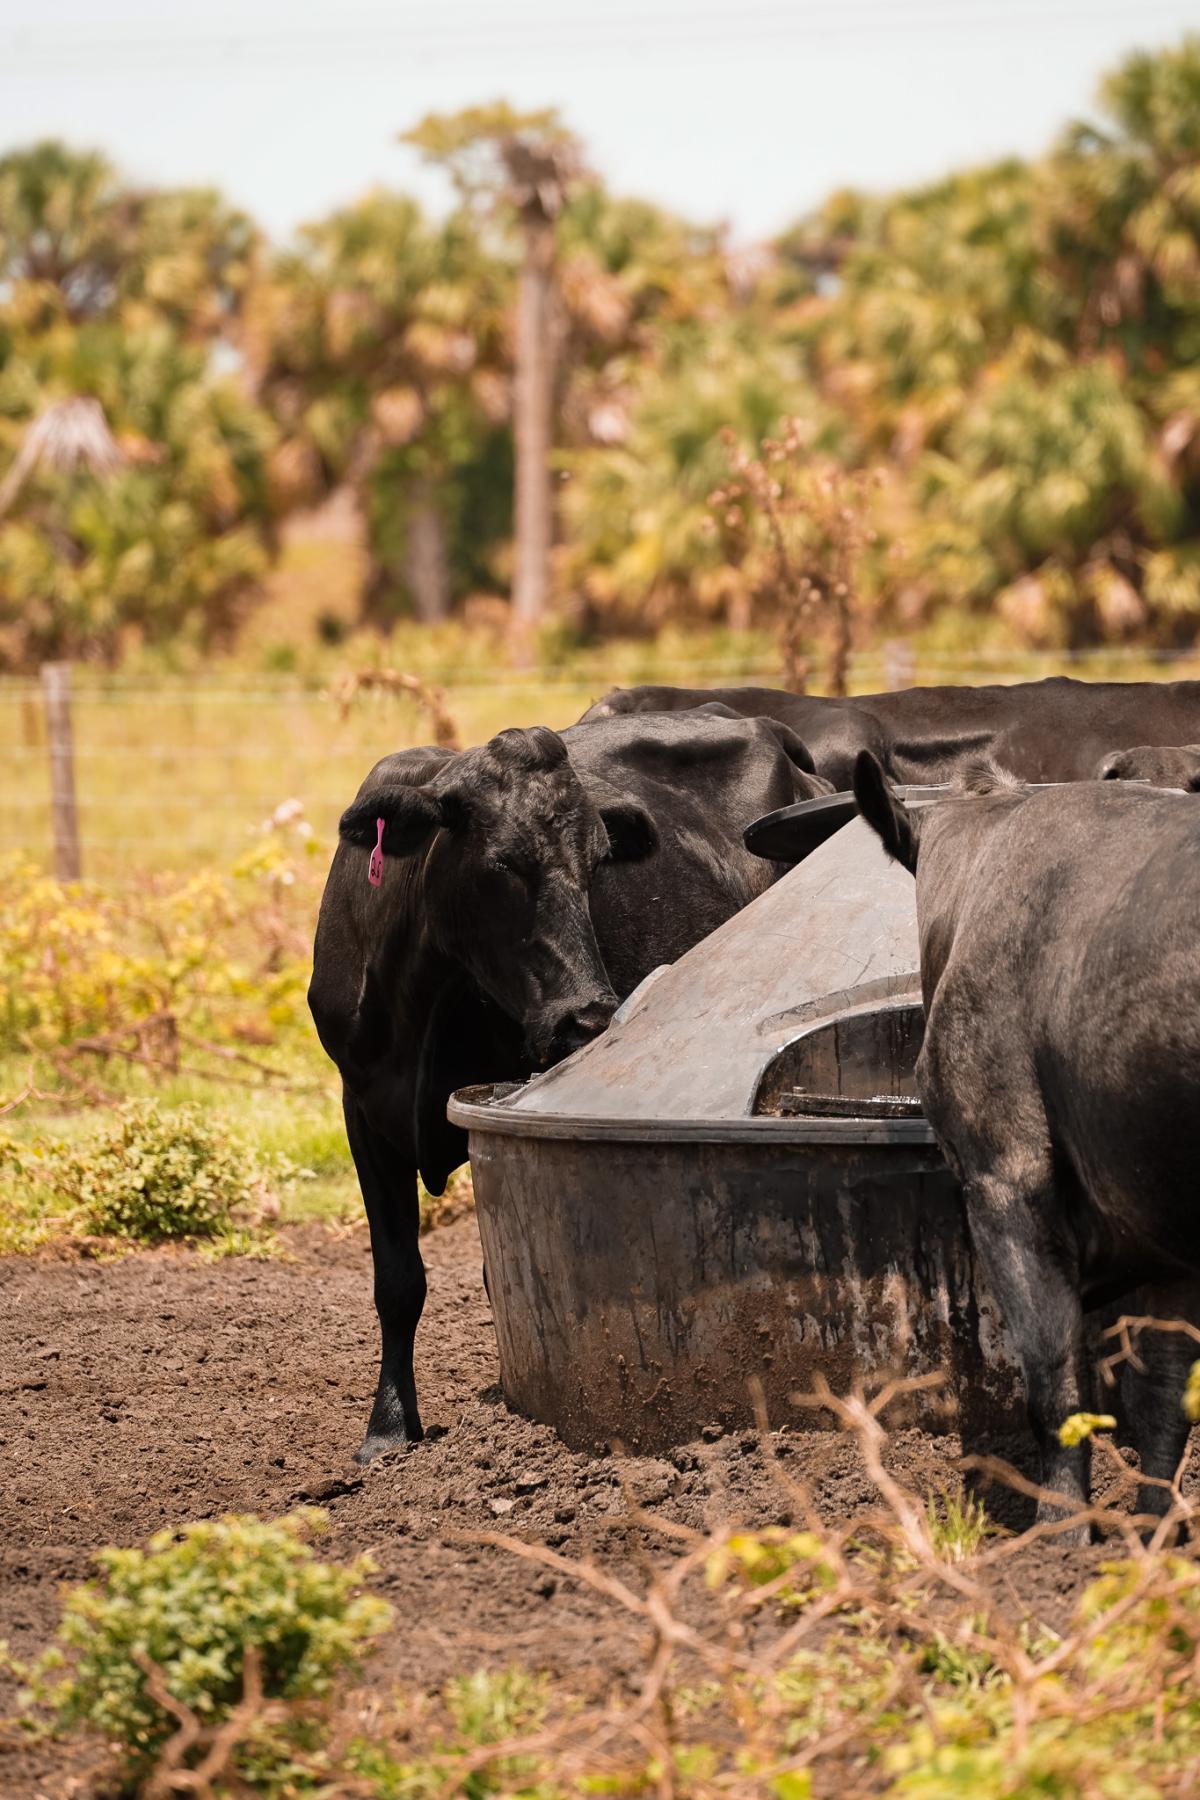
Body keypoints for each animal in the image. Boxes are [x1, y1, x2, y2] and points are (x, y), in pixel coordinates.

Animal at [309, 711, 830, 1461]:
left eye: (595, 867)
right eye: (500, 863)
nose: (585, 1015)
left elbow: (504, 1279)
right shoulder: (363, 1111)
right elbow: (398, 1281)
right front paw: (388, 1430)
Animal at [847, 752, 1200, 1534]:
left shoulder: (1004, 1177)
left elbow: (1054, 1384)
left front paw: (1058, 1539)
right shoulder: (1164, 1228)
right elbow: (1165, 1396)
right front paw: (1153, 1534)